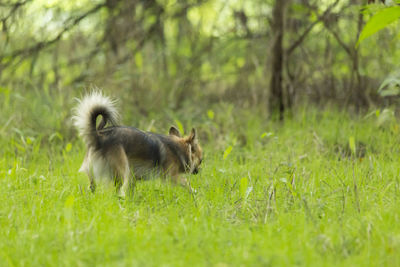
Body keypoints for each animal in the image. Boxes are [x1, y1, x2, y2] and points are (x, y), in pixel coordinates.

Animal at [72, 91, 202, 198]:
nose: (199, 171)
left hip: (97, 173)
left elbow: (131, 189)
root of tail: (98, 137)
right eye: (201, 160)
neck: (178, 149)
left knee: (92, 187)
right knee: (117, 190)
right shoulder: (172, 176)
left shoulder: (133, 177)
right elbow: (187, 183)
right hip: (121, 170)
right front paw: (195, 193)